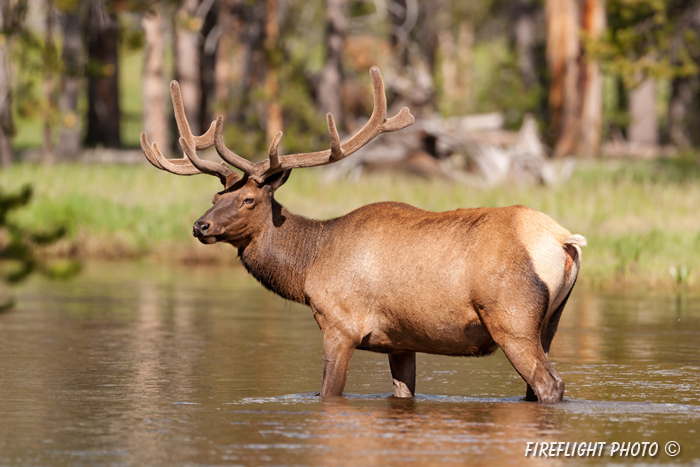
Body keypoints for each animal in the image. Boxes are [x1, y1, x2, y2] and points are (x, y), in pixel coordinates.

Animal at [138, 67, 584, 404]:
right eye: (216, 196)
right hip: (550, 322)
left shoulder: (340, 324)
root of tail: (565, 241)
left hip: (512, 318)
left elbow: (327, 392)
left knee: (549, 384)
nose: (200, 225)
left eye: (248, 199)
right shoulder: (401, 339)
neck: (308, 266)